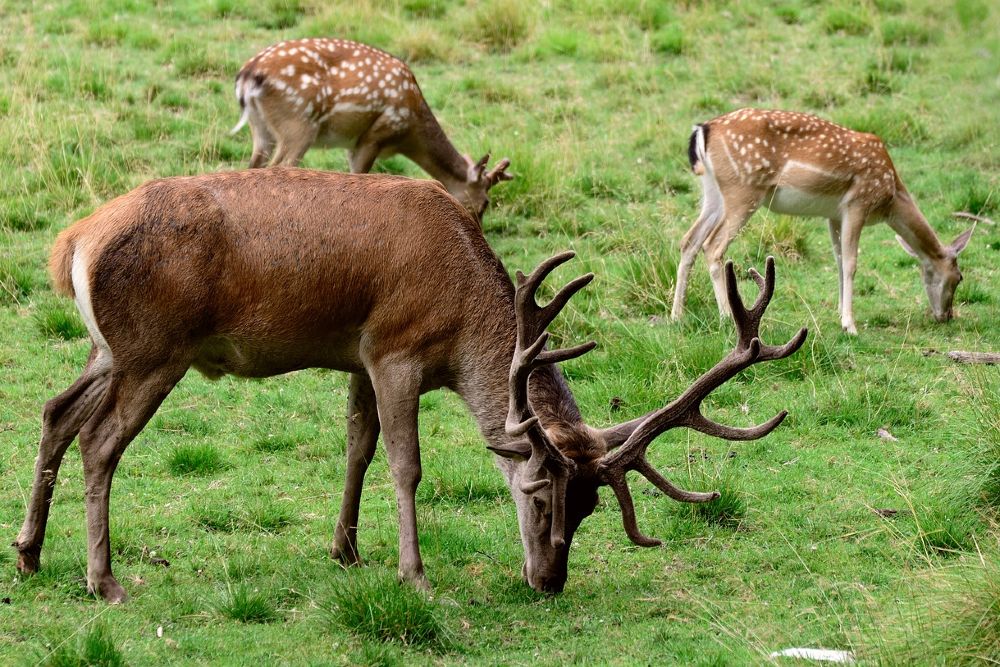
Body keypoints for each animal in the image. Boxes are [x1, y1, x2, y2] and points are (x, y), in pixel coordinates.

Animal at [13, 167, 805, 603]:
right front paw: (414, 573)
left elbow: (357, 447)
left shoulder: (358, 356)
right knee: (99, 440)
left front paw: (346, 549)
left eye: (589, 509)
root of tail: (72, 243)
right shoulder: (394, 349)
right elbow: (405, 464)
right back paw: (105, 581)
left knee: (54, 411)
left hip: (109, 348)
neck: (460, 320)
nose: (549, 580)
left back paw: (28, 553)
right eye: (538, 494)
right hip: (155, 349)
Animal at [230, 37, 513, 220]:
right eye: (485, 203)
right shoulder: (374, 135)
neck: (409, 131)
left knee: (253, 165)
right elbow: (359, 177)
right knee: (279, 166)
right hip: (298, 125)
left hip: (261, 128)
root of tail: (248, 76)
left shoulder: (355, 143)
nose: (476, 228)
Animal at [671, 108, 975, 334]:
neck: (890, 196)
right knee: (713, 246)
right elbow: (851, 263)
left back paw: (676, 316)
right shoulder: (858, 203)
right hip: (743, 190)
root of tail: (703, 130)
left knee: (689, 241)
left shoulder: (834, 215)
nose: (947, 316)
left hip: (713, 192)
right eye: (959, 277)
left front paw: (840, 314)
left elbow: (839, 261)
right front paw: (850, 325)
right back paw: (725, 317)